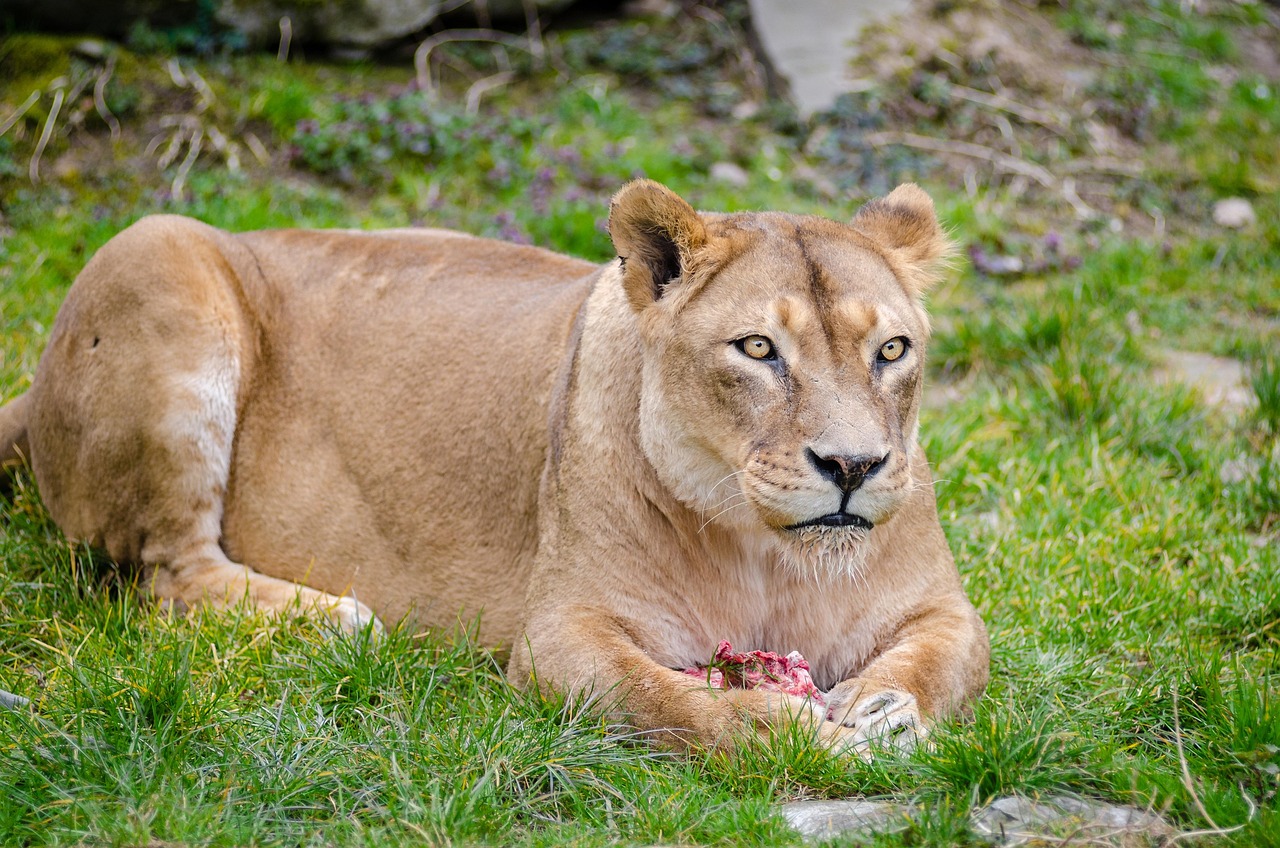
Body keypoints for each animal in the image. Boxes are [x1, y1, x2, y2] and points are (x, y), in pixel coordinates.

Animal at [0, 180, 989, 753]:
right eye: (757, 349)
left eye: (892, 351)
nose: (853, 465)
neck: (768, 555)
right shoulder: (560, 634)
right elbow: (664, 700)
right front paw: (777, 725)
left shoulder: (945, 610)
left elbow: (942, 665)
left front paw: (884, 712)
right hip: (159, 251)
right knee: (167, 574)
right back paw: (336, 618)